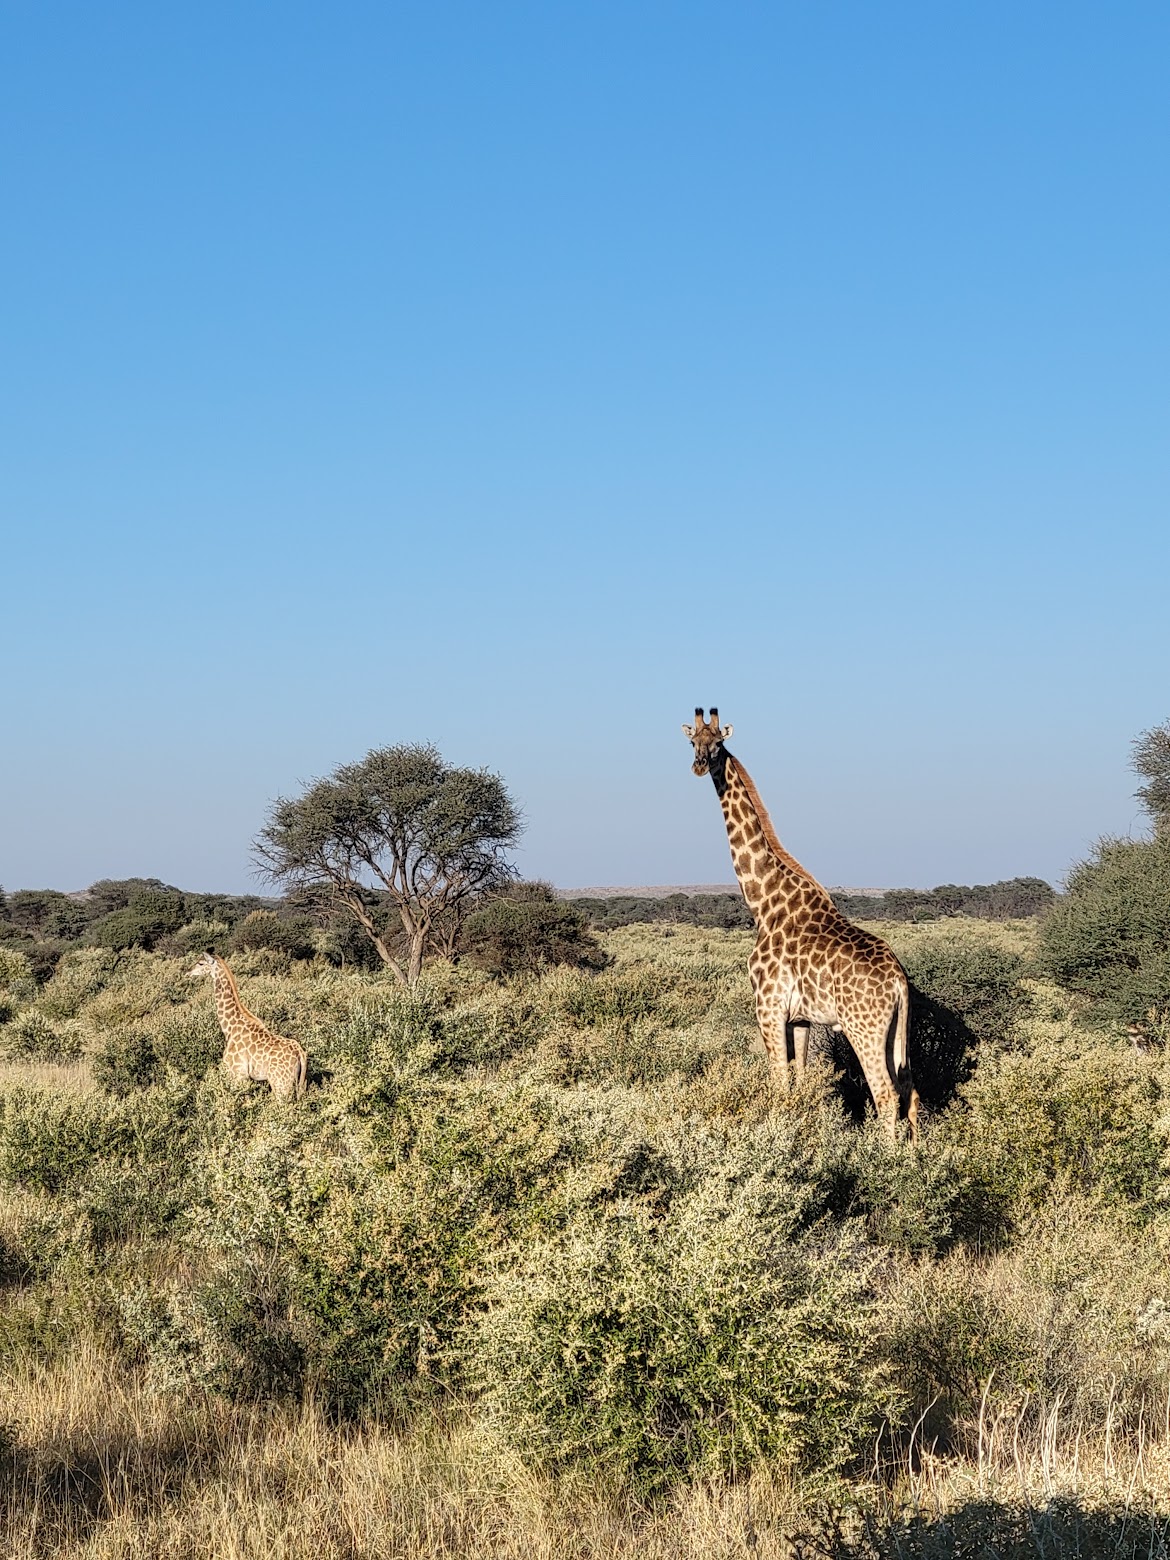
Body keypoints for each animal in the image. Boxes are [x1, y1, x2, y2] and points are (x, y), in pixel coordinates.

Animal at [187, 942, 308, 1104]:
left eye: (200, 963)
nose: (188, 972)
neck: (230, 1028)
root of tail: (300, 1053)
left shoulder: (237, 1074)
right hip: (299, 1084)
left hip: (280, 1083)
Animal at [683, 714, 923, 1141]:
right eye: (692, 740)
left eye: (717, 744)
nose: (697, 765)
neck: (764, 902)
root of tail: (898, 981)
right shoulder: (800, 1018)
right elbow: (799, 1080)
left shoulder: (768, 1006)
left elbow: (779, 1081)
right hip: (897, 1030)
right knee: (910, 1090)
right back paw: (916, 1157)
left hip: (864, 1029)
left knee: (885, 1093)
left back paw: (885, 1158)